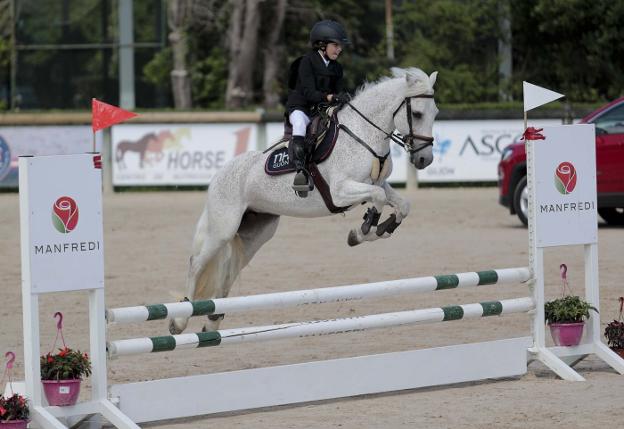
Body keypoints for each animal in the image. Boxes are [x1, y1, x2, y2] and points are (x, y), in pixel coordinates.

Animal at [168, 67, 436, 334]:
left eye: (435, 113)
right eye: (418, 113)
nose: (424, 159)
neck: (363, 134)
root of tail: (219, 174)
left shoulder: (377, 184)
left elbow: (402, 205)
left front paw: (381, 228)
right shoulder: (341, 191)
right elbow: (378, 200)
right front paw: (365, 229)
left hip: (256, 233)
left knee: (229, 271)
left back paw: (213, 322)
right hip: (223, 228)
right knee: (196, 264)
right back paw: (179, 321)